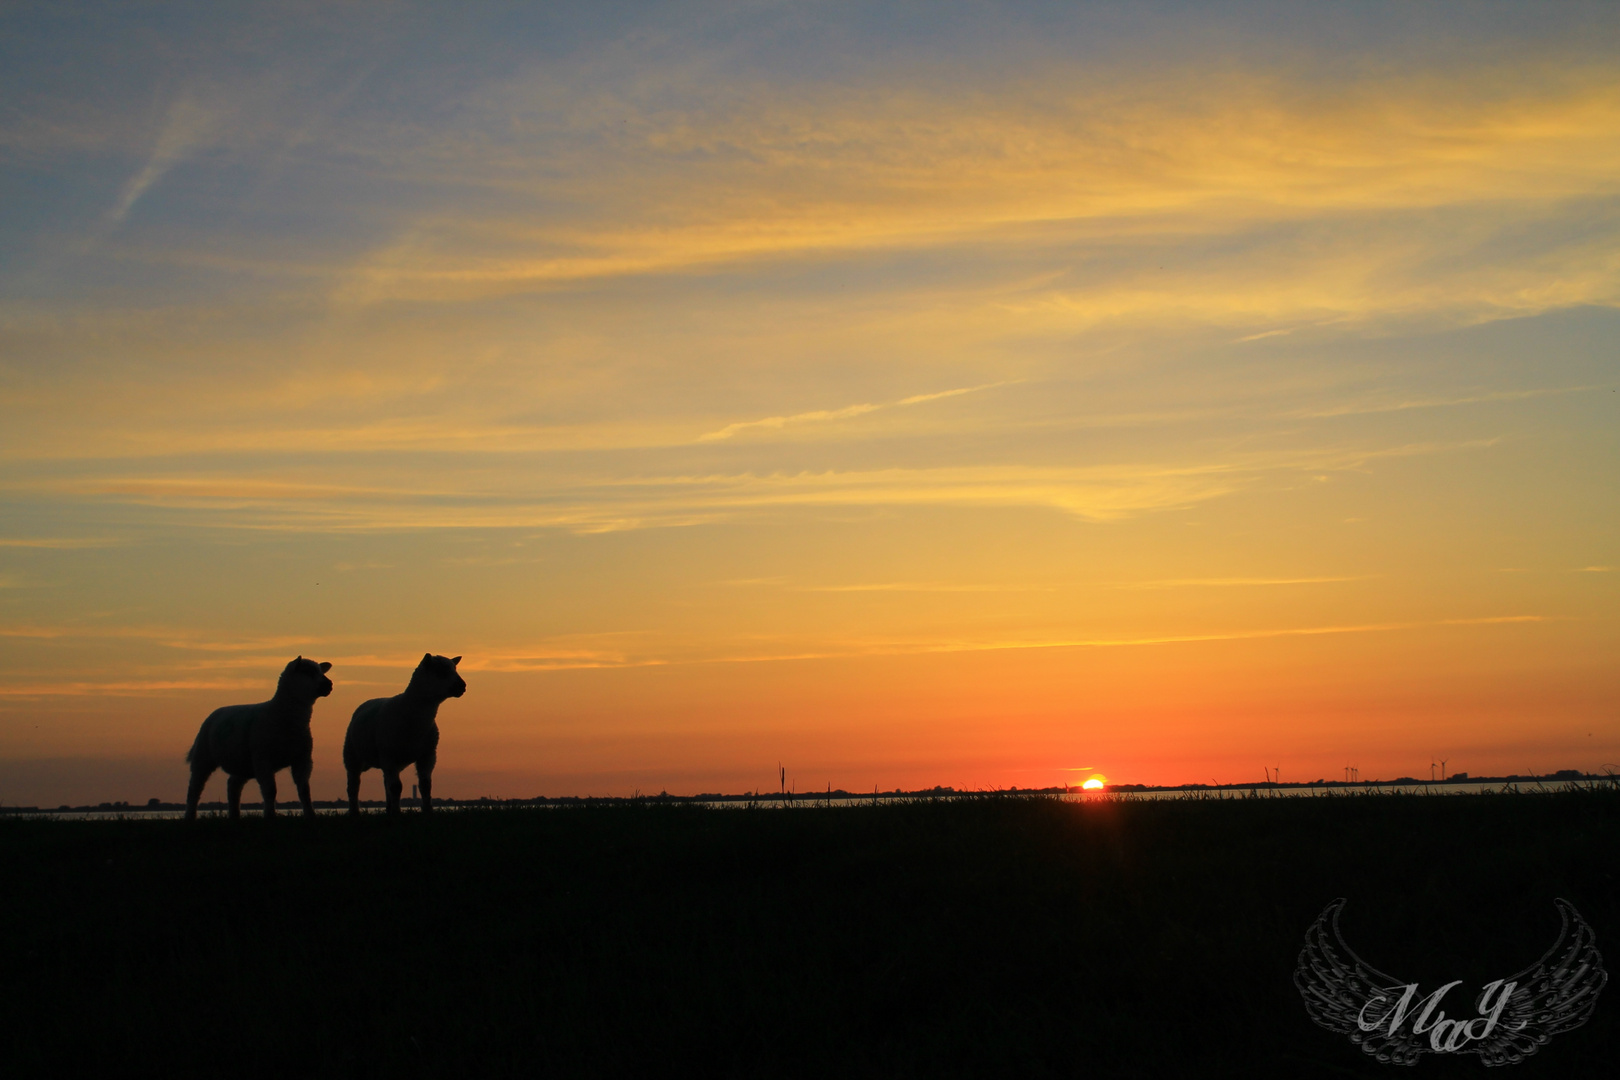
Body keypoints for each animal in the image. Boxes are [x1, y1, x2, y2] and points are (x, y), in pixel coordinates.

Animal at [183, 654, 332, 822]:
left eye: (321, 671)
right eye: (307, 672)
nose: (329, 684)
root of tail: (217, 711)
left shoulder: (302, 759)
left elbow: (304, 790)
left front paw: (310, 814)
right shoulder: (263, 759)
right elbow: (270, 790)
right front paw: (270, 815)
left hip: (242, 763)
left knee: (233, 785)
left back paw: (234, 815)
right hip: (203, 756)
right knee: (195, 788)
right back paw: (190, 815)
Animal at [341, 654, 466, 816]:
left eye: (454, 668)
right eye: (440, 671)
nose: (463, 686)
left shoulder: (428, 755)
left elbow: (425, 785)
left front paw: (427, 810)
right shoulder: (389, 755)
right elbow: (396, 787)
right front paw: (397, 812)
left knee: (385, 783)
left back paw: (388, 809)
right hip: (352, 756)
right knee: (353, 786)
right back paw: (355, 811)